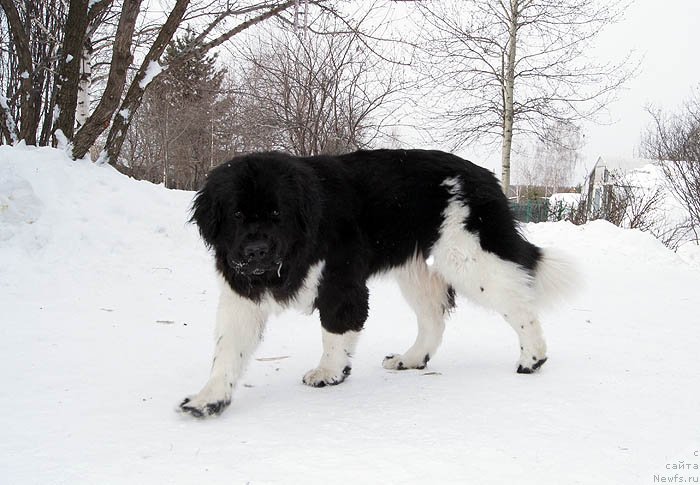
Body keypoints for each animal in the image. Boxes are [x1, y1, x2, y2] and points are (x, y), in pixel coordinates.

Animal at [179, 147, 576, 416]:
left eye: (277, 213)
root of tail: (485, 176)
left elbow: (335, 331)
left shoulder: (341, 284)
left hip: (468, 257)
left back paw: (533, 357)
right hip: (415, 268)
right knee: (433, 317)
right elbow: (228, 349)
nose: (256, 251)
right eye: (236, 214)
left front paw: (329, 373)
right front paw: (209, 398)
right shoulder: (241, 295)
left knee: (518, 300)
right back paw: (411, 359)